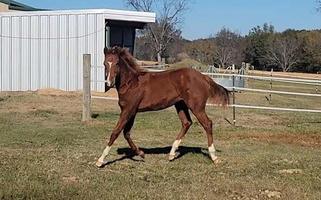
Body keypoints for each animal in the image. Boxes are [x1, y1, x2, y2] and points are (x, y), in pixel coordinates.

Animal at [94, 46, 229, 166]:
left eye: (117, 63)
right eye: (105, 63)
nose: (109, 83)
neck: (131, 83)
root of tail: (204, 77)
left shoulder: (128, 110)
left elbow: (116, 132)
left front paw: (100, 160)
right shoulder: (132, 111)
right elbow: (126, 133)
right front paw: (141, 153)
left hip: (197, 107)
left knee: (207, 124)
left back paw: (214, 157)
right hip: (180, 105)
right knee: (187, 122)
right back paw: (172, 154)